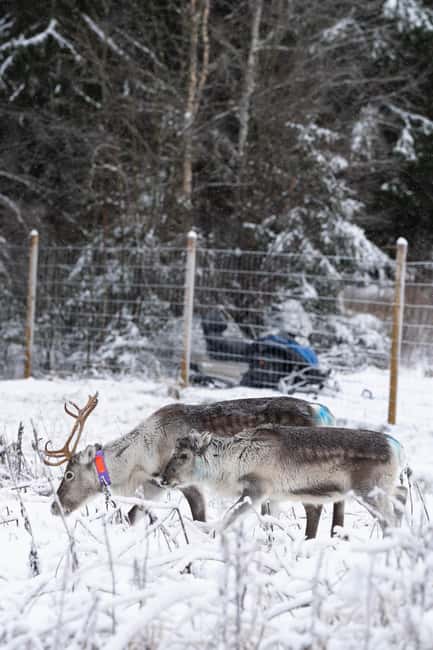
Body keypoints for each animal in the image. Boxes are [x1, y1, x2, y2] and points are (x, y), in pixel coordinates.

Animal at [44, 392, 342, 536]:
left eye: (69, 474)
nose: (54, 508)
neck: (142, 456)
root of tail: (322, 411)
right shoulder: (154, 486)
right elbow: (131, 516)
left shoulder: (185, 482)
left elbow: (200, 517)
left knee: (315, 507)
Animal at [160, 425, 407, 537]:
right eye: (172, 451)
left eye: (184, 455)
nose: (163, 479)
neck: (233, 462)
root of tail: (397, 448)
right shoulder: (274, 497)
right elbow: (269, 523)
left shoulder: (257, 489)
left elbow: (229, 516)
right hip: (383, 487)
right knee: (402, 493)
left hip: (369, 491)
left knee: (389, 519)